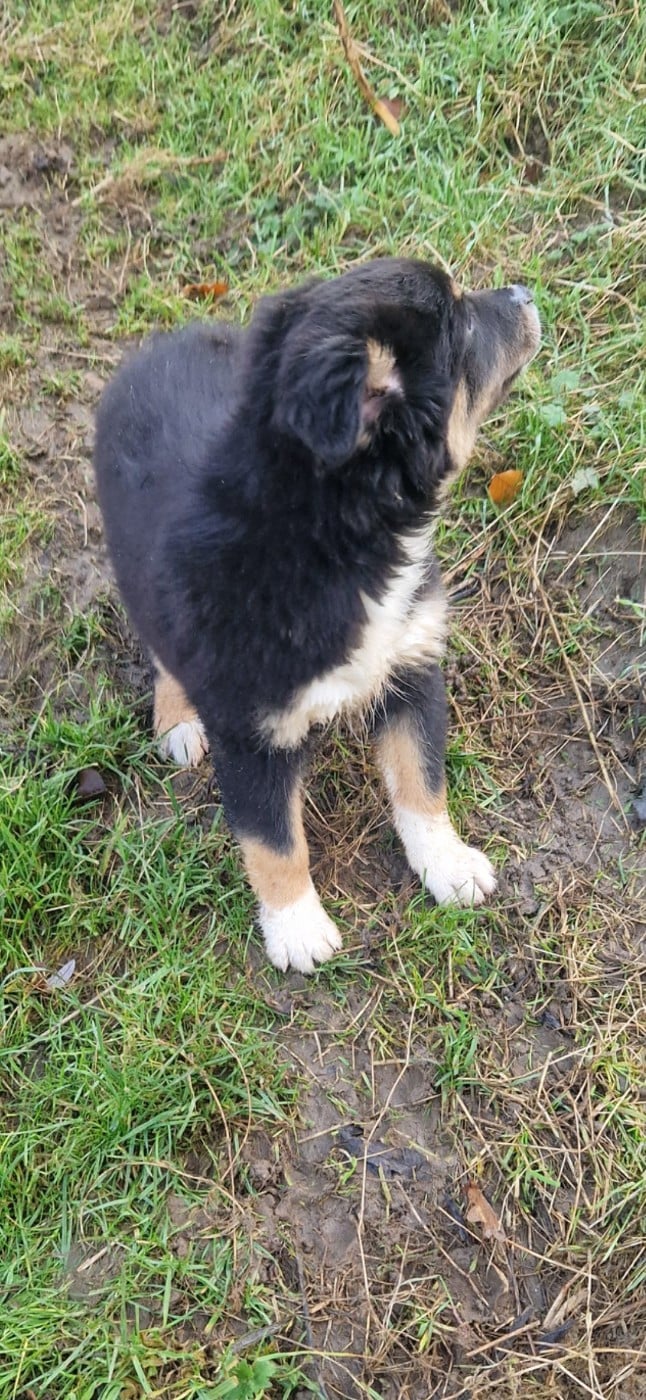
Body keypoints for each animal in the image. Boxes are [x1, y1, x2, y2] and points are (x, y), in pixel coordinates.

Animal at [94, 258, 540, 973]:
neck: (337, 537)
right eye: (462, 326)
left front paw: (447, 865)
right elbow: (274, 841)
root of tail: (163, 342)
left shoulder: (411, 665)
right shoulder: (249, 731)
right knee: (162, 649)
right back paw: (177, 720)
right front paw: (298, 929)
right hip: (134, 561)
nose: (526, 294)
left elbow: (422, 780)